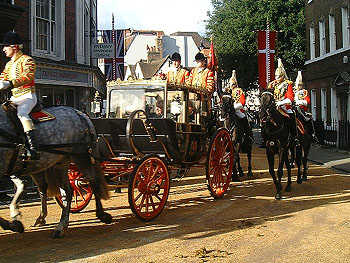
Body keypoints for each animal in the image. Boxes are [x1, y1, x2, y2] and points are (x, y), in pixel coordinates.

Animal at [0, 106, 110, 238]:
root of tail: (79, 113)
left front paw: (14, 223)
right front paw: (14, 221)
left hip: (80, 155)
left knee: (92, 181)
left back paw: (99, 215)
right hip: (58, 163)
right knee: (65, 190)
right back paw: (55, 223)